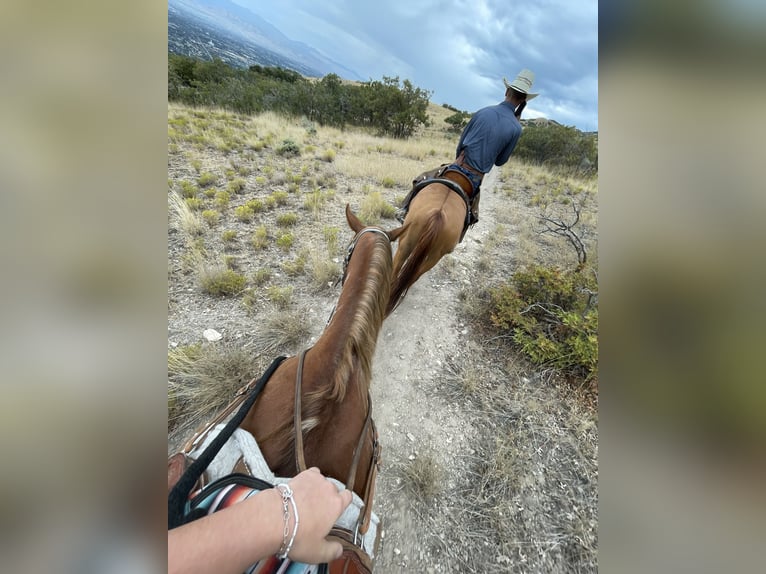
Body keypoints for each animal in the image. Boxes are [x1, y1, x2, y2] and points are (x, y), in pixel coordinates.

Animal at [387, 169, 475, 316]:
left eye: (415, 182)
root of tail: (438, 214)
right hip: (435, 256)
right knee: (414, 275)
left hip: (406, 243)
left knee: (398, 269)